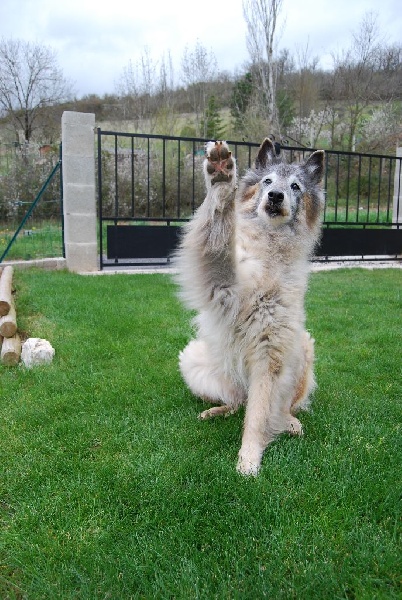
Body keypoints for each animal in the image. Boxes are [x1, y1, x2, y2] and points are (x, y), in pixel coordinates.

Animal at [174, 139, 325, 475]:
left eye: (295, 186)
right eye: (267, 181)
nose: (275, 196)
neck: (269, 250)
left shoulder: (270, 355)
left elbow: (257, 417)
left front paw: (249, 459)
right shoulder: (222, 286)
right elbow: (218, 237)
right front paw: (220, 178)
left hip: (302, 349)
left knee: (279, 407)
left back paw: (290, 422)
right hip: (196, 359)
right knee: (236, 402)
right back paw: (217, 411)